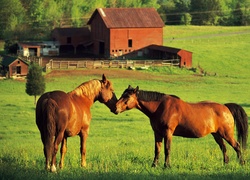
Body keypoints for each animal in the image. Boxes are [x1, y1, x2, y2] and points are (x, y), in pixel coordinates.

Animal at [115, 85, 248, 168]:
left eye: (127, 96)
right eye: (122, 94)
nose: (115, 108)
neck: (160, 106)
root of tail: (225, 107)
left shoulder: (168, 132)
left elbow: (167, 149)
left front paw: (167, 166)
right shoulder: (157, 133)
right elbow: (157, 150)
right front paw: (154, 165)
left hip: (226, 134)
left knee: (237, 146)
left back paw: (242, 163)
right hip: (217, 135)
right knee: (223, 148)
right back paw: (226, 163)